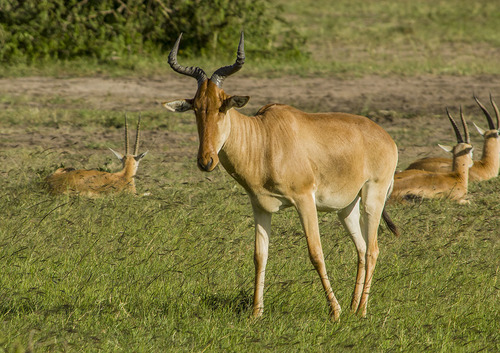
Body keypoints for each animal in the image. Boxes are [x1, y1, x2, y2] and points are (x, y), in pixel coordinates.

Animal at [163, 32, 398, 320]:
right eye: (196, 107)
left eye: (222, 106)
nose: (206, 161)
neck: (265, 136)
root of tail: (387, 139)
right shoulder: (260, 207)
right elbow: (259, 255)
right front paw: (256, 313)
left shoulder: (305, 199)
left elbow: (315, 252)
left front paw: (334, 311)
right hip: (347, 207)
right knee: (362, 249)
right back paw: (355, 306)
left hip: (373, 196)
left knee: (374, 249)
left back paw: (361, 310)